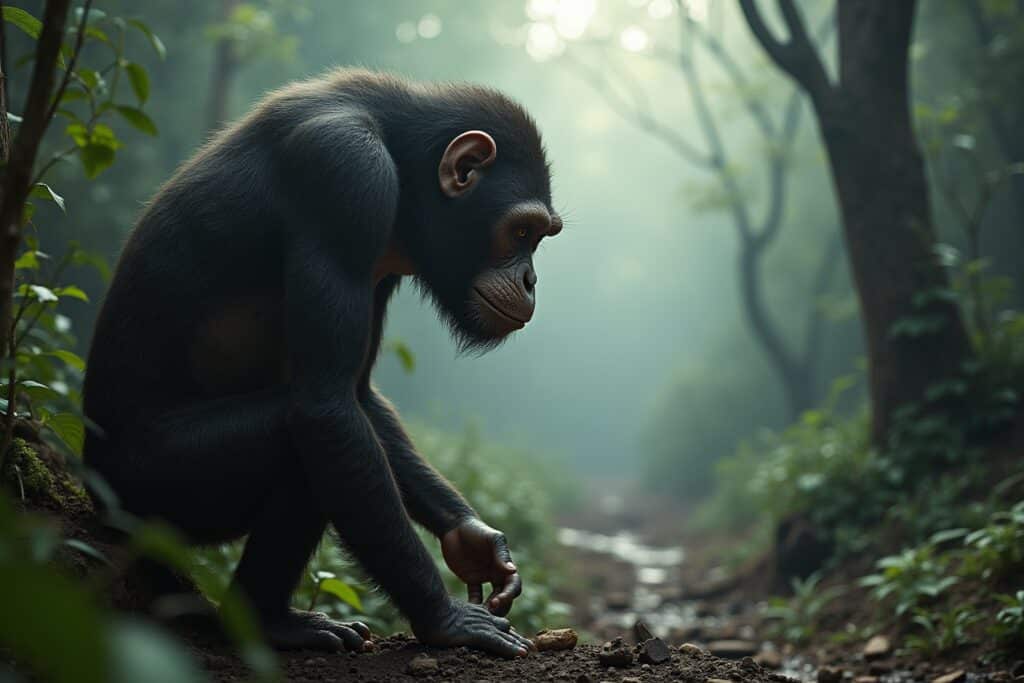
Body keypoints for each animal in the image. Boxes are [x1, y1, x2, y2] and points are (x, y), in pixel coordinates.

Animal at [82, 69, 562, 658]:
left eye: (540, 236)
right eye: (521, 232)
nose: (531, 279)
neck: (403, 162)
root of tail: (93, 479)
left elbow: (357, 393)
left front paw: (475, 542)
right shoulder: (348, 182)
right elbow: (328, 407)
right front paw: (445, 618)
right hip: (150, 487)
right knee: (297, 440)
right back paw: (266, 623)